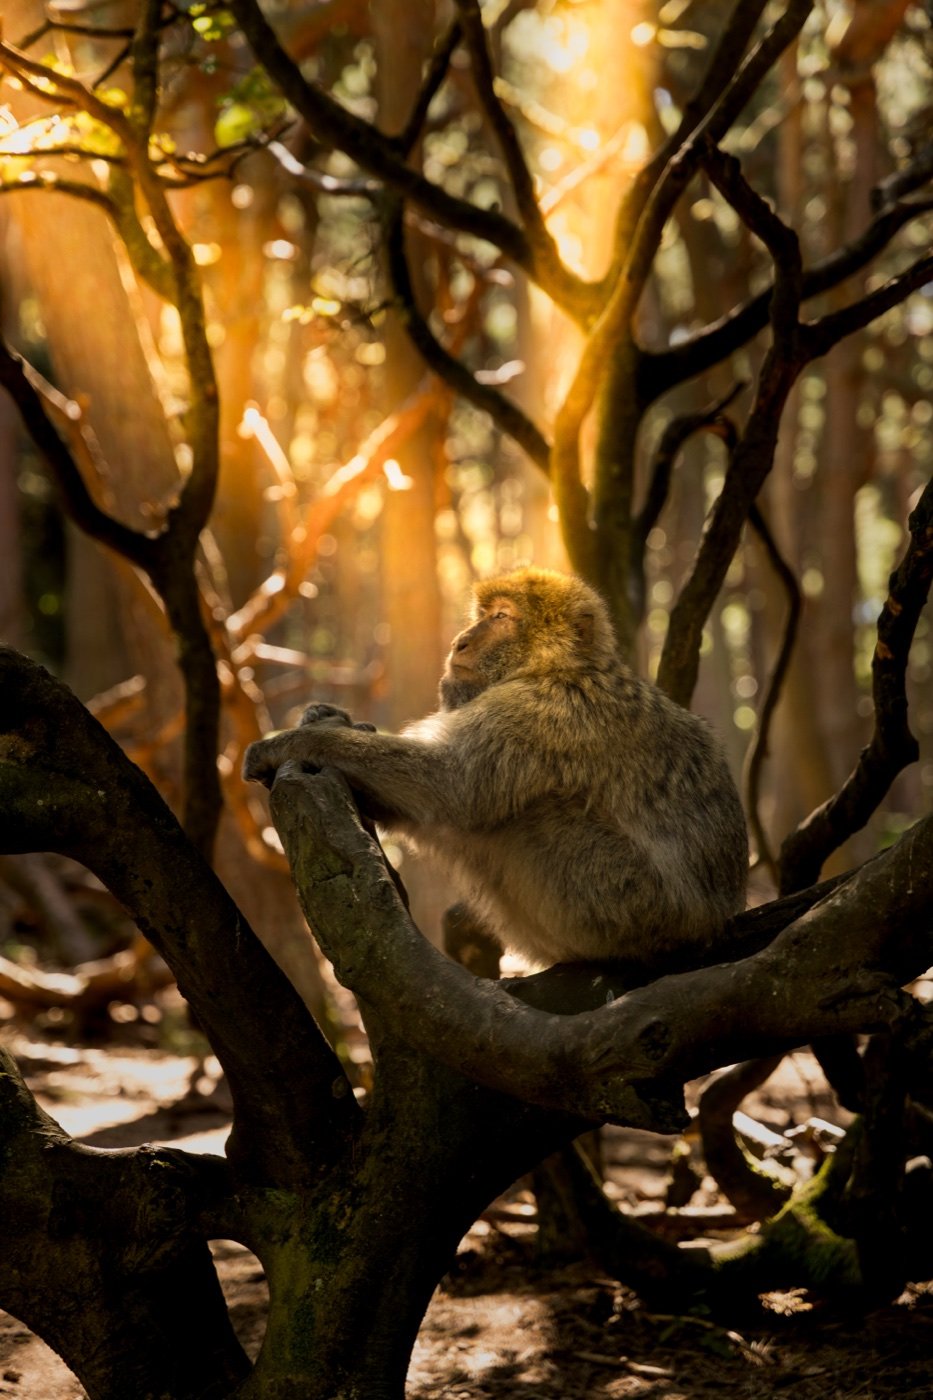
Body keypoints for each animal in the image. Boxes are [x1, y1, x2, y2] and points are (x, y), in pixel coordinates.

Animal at [243, 567, 748, 971]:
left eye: (503, 617)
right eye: (483, 612)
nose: (459, 642)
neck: (550, 668)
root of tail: (715, 923)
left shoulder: (538, 713)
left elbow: (450, 787)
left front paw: (298, 742)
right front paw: (329, 720)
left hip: (627, 901)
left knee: (521, 814)